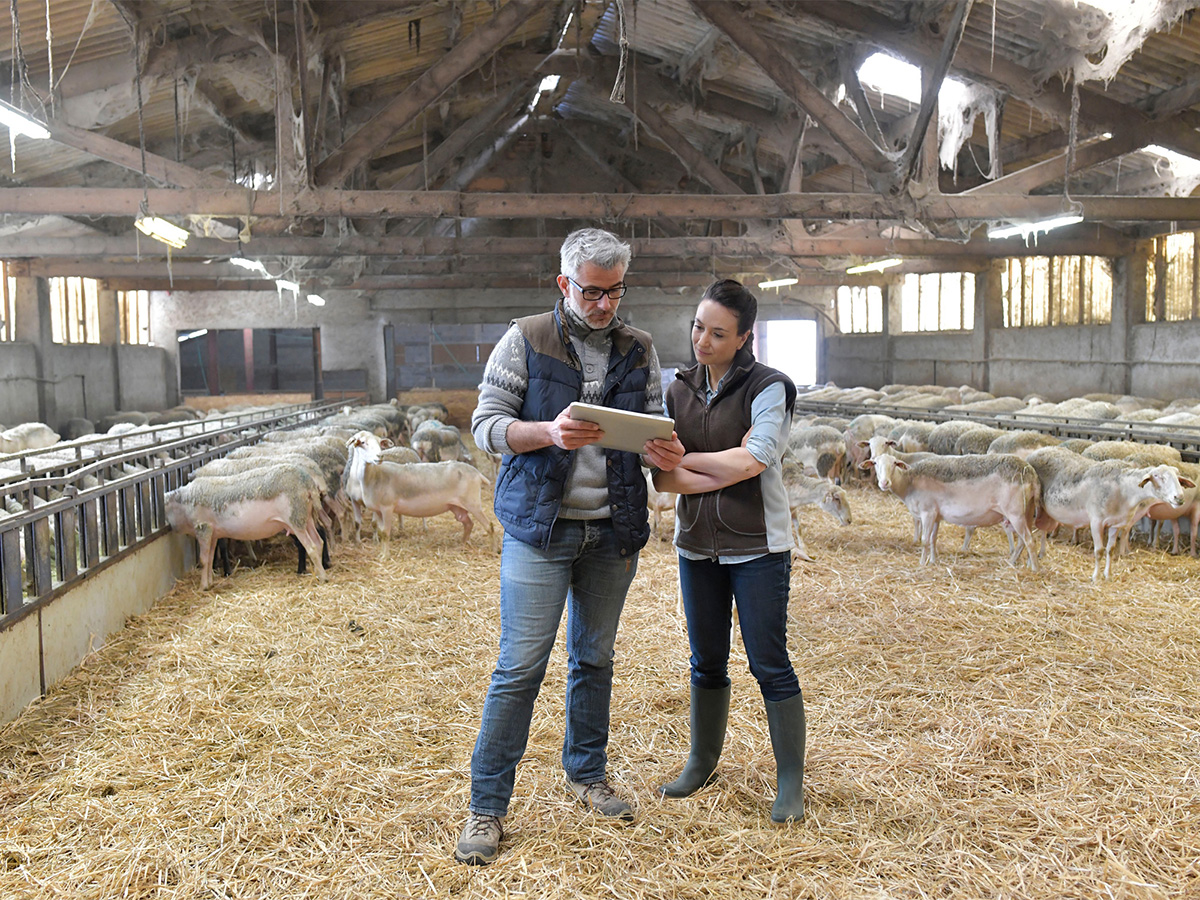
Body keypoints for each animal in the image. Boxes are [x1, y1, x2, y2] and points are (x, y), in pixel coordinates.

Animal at [163, 465, 328, 592]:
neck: (181, 505)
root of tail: (309, 484)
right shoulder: (213, 533)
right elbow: (209, 559)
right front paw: (209, 583)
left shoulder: (203, 528)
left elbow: (203, 560)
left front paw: (202, 587)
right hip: (305, 517)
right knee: (319, 542)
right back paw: (320, 571)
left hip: (295, 518)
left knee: (311, 547)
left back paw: (322, 577)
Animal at [864, 451, 1041, 571]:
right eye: (875, 463)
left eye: (894, 463)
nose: (884, 483)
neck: (909, 483)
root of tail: (1031, 474)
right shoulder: (936, 515)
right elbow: (933, 539)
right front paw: (933, 561)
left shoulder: (927, 512)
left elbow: (924, 540)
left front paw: (922, 564)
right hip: (1026, 511)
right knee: (1022, 541)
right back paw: (1013, 563)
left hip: (1015, 513)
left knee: (1030, 541)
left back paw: (1034, 569)